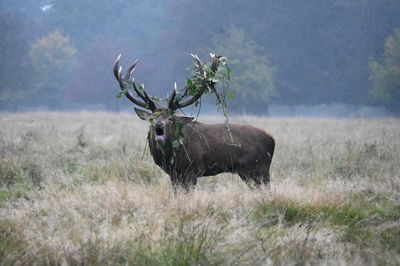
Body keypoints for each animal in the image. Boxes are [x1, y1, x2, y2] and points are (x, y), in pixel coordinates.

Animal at [112, 53, 276, 191]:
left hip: (258, 168)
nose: (159, 125)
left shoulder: (192, 170)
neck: (171, 156)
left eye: (170, 118)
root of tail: (272, 139)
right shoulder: (174, 174)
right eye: (152, 118)